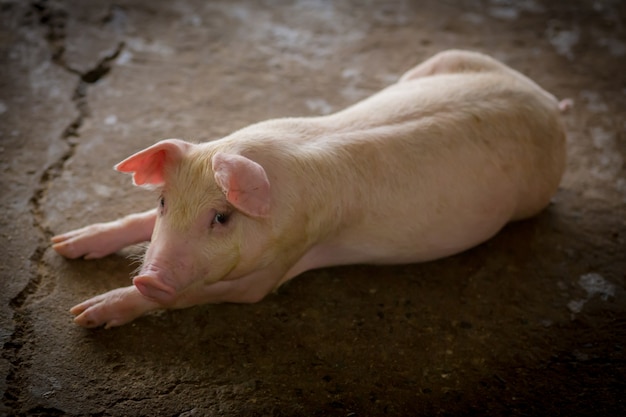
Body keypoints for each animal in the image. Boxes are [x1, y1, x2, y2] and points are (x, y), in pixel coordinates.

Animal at [51, 50, 564, 326]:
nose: (148, 275)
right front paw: (66, 245)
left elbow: (201, 295)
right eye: (162, 201)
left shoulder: (271, 270)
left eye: (222, 217)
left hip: (533, 196)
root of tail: (548, 101)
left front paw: (84, 315)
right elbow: (136, 222)